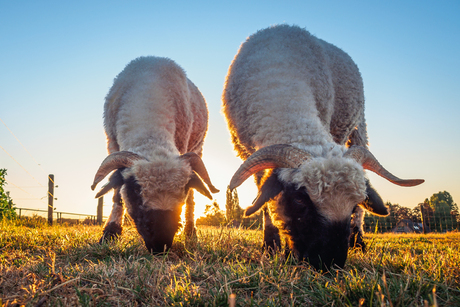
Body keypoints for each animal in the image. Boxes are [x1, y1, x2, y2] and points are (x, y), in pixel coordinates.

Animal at [91, 56, 219, 254]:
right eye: (135, 189)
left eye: (183, 189)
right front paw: (110, 233)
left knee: (192, 199)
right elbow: (116, 192)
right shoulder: (112, 143)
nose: (160, 244)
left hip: (198, 146)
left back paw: (191, 232)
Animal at [223, 24, 424, 272]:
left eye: (352, 205)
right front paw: (270, 245)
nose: (330, 264)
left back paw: (358, 241)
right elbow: (264, 198)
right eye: (300, 200)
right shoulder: (245, 149)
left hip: (358, 127)